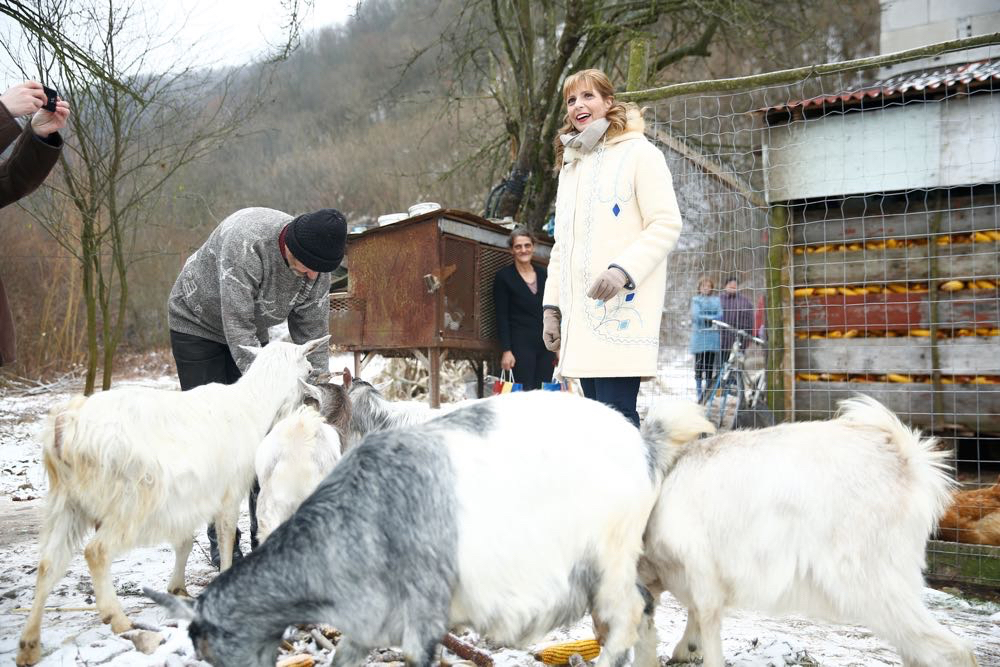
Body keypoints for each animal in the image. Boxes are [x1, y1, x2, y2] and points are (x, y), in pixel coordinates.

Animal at [15, 340, 328, 667]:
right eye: (309, 370)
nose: (310, 401)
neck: (253, 405)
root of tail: (66, 424)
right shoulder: (228, 492)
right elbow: (226, 536)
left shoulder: (189, 499)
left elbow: (185, 541)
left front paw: (177, 588)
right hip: (129, 500)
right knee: (96, 551)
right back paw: (118, 619)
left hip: (67, 503)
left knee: (48, 564)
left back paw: (29, 644)